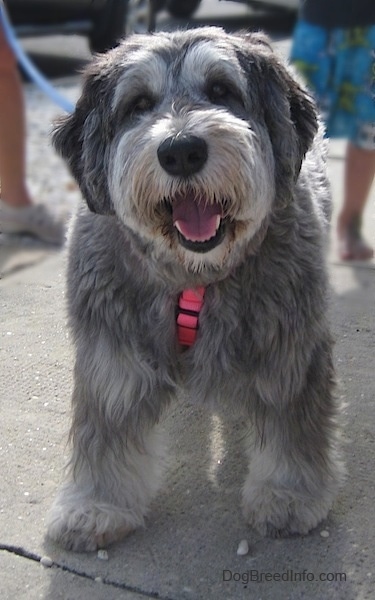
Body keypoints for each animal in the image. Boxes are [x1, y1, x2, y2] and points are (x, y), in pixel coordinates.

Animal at [46, 28, 344, 552]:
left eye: (222, 90)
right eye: (138, 104)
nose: (181, 151)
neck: (193, 279)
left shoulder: (289, 350)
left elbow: (293, 425)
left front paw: (289, 495)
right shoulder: (113, 352)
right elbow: (105, 430)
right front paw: (97, 505)